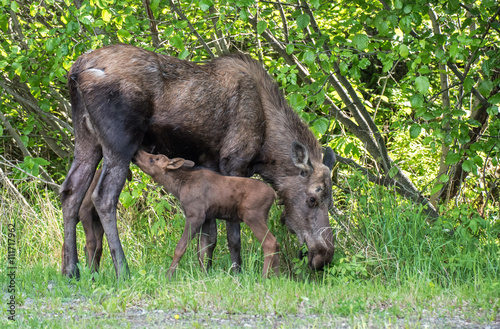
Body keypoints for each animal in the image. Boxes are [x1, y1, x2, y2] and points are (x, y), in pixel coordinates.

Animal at [60, 43, 338, 278]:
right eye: (312, 198)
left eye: (330, 201)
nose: (324, 256)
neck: (266, 148)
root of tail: (76, 70)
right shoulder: (234, 162)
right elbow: (233, 237)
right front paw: (236, 272)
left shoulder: (209, 167)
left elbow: (209, 238)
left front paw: (205, 272)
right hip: (119, 143)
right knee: (103, 197)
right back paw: (122, 270)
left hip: (86, 139)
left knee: (70, 192)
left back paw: (71, 270)